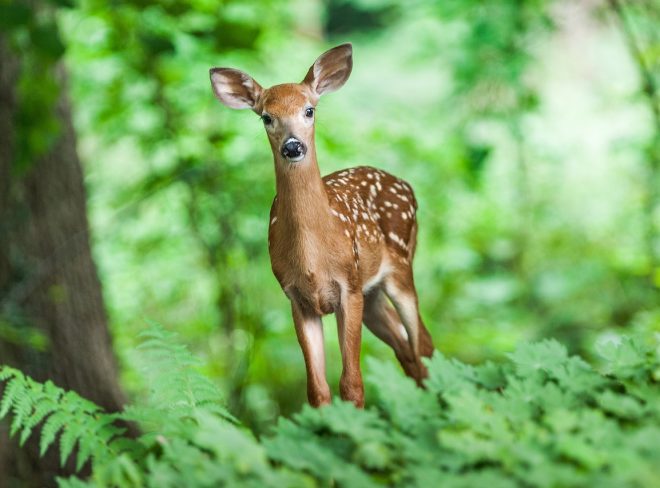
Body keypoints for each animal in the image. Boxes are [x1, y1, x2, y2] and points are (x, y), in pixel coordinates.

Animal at [209, 43, 434, 408]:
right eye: (266, 117)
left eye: (309, 110)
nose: (292, 146)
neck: (313, 257)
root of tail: (406, 185)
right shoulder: (297, 298)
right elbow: (317, 389)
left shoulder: (349, 287)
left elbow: (352, 384)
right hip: (372, 294)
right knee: (406, 350)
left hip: (400, 267)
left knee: (423, 344)